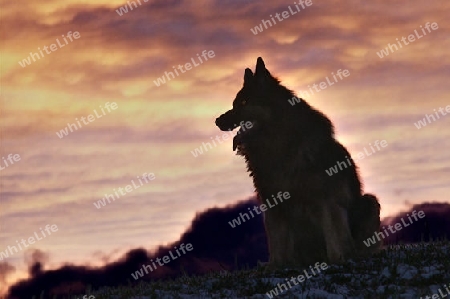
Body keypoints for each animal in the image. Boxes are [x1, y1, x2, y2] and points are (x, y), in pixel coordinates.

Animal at [214, 57, 380, 268]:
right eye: (234, 104)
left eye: (243, 102)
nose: (217, 121)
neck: (279, 141)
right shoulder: (271, 200)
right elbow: (276, 238)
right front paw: (275, 266)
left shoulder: (327, 197)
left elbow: (333, 231)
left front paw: (337, 258)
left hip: (369, 201)